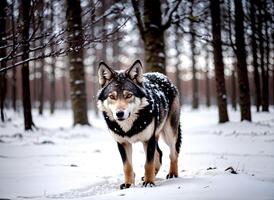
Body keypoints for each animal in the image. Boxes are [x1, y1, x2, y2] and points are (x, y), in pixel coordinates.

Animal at [97, 59, 182, 189]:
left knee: (173, 153)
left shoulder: (148, 139)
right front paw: (128, 184)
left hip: (168, 134)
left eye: (128, 95)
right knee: (159, 153)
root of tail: (162, 75)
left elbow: (148, 163)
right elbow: (127, 166)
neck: (128, 127)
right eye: (112, 96)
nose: (119, 113)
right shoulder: (122, 143)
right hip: (156, 137)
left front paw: (149, 182)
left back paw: (172, 174)